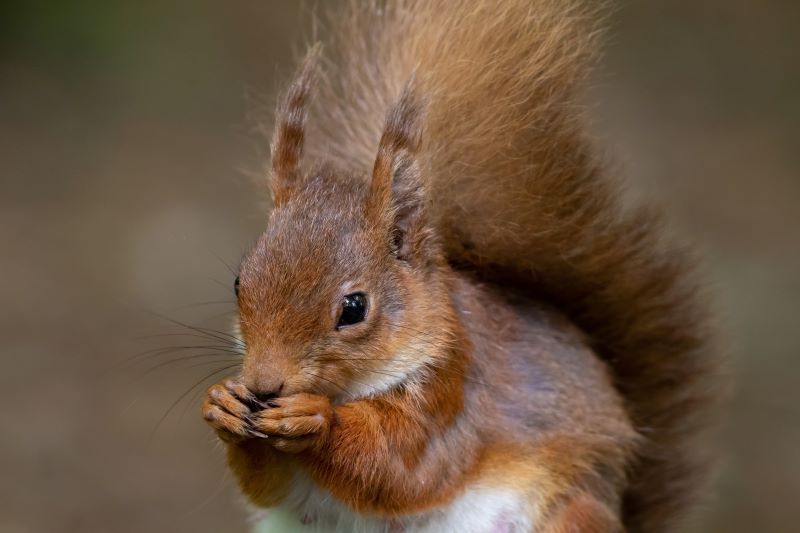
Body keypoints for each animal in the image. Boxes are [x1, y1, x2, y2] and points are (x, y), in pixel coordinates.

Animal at [201, 1, 720, 531]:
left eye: (354, 308)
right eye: (240, 282)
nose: (263, 385)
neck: (350, 391)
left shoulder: (453, 389)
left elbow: (404, 470)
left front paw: (314, 419)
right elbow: (268, 485)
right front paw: (224, 403)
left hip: (570, 516)